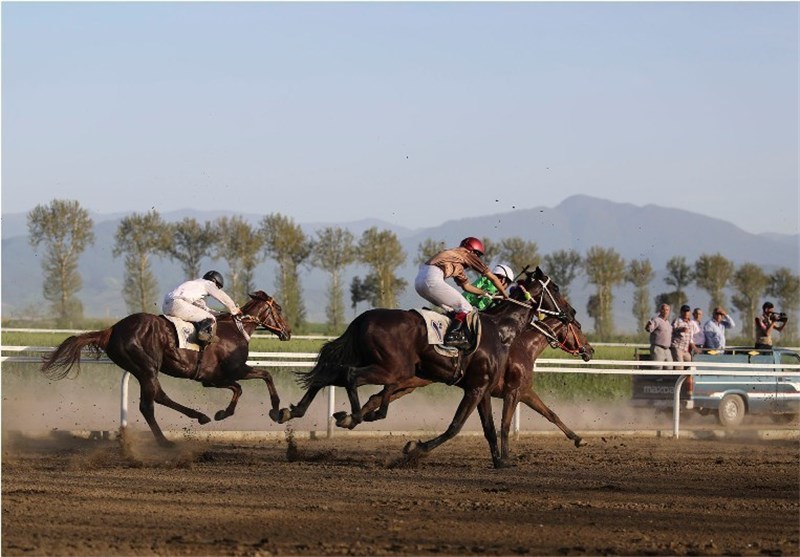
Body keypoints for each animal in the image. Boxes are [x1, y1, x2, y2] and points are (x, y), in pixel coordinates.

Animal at [40, 292, 290, 444]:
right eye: (278, 308)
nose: (288, 332)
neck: (235, 330)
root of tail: (111, 330)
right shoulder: (229, 372)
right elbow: (262, 376)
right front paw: (276, 410)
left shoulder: (213, 379)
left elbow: (243, 385)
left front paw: (222, 413)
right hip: (146, 367)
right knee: (147, 405)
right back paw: (165, 442)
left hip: (143, 369)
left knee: (159, 396)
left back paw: (199, 416)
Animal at [356, 314, 592, 458]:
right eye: (579, 327)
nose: (590, 350)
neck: (524, 347)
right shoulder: (513, 392)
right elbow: (505, 425)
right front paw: (505, 456)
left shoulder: (524, 392)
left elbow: (551, 414)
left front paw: (578, 439)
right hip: (411, 378)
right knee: (382, 390)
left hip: (414, 382)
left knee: (377, 396)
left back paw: (359, 415)